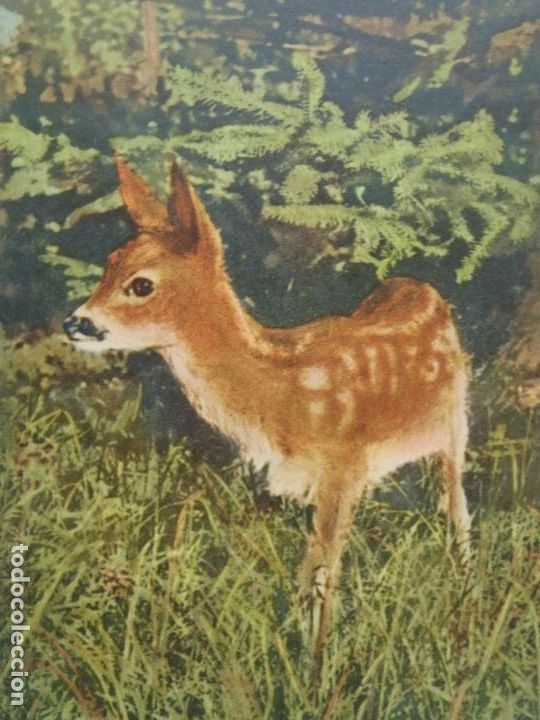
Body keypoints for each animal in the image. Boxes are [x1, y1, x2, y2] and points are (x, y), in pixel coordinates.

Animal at [63, 156, 472, 664]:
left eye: (141, 284)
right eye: (107, 264)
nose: (75, 323)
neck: (281, 394)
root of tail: (422, 286)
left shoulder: (343, 468)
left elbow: (320, 574)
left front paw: (317, 668)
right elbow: (303, 570)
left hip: (456, 425)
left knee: (458, 510)